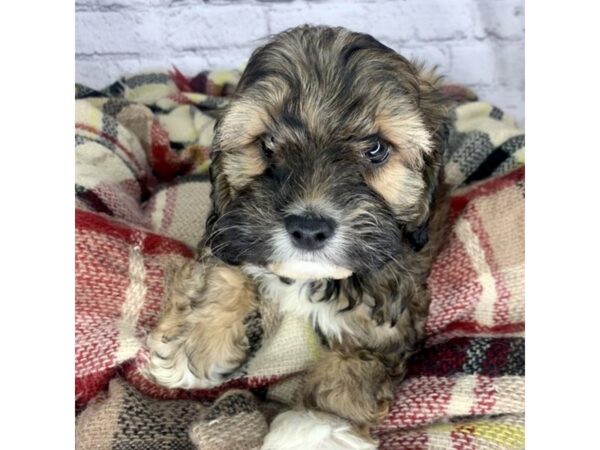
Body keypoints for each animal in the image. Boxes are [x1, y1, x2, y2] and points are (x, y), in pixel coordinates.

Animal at [149, 26, 450, 448]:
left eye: (375, 149)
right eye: (267, 143)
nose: (309, 229)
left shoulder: (393, 300)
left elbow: (355, 363)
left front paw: (315, 427)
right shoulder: (231, 223)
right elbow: (222, 269)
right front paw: (194, 343)